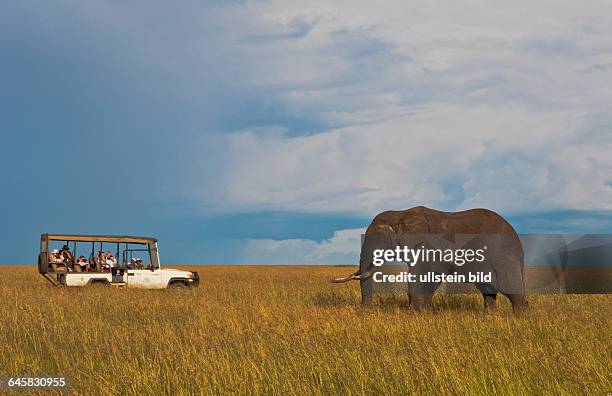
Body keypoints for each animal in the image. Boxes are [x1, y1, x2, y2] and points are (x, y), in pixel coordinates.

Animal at [332, 206, 528, 314]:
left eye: (378, 237)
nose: (363, 312)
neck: (401, 214)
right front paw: (422, 313)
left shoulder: (426, 245)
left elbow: (421, 275)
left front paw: (416, 314)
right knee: (488, 289)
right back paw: (488, 318)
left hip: (502, 254)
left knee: (509, 287)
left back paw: (520, 317)